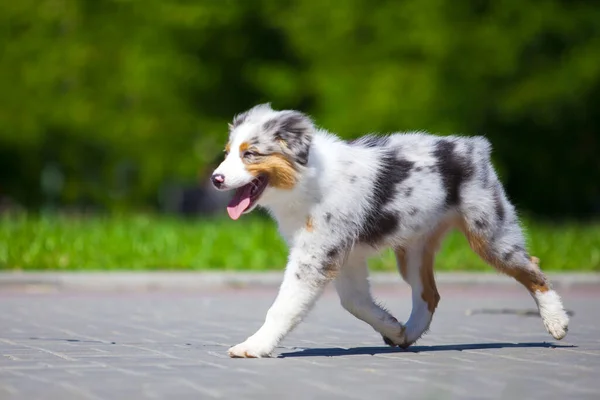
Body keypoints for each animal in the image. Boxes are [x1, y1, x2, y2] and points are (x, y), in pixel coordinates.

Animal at [212, 104, 572, 360]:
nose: (215, 178)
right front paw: (393, 329)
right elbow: (354, 302)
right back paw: (409, 333)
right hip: (413, 247)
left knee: (532, 267)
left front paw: (253, 346)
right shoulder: (343, 255)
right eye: (227, 153)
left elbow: (284, 305)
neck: (306, 178)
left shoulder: (315, 256)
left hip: (489, 232)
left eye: (250, 154)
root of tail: (472, 146)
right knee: (429, 294)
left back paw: (556, 322)